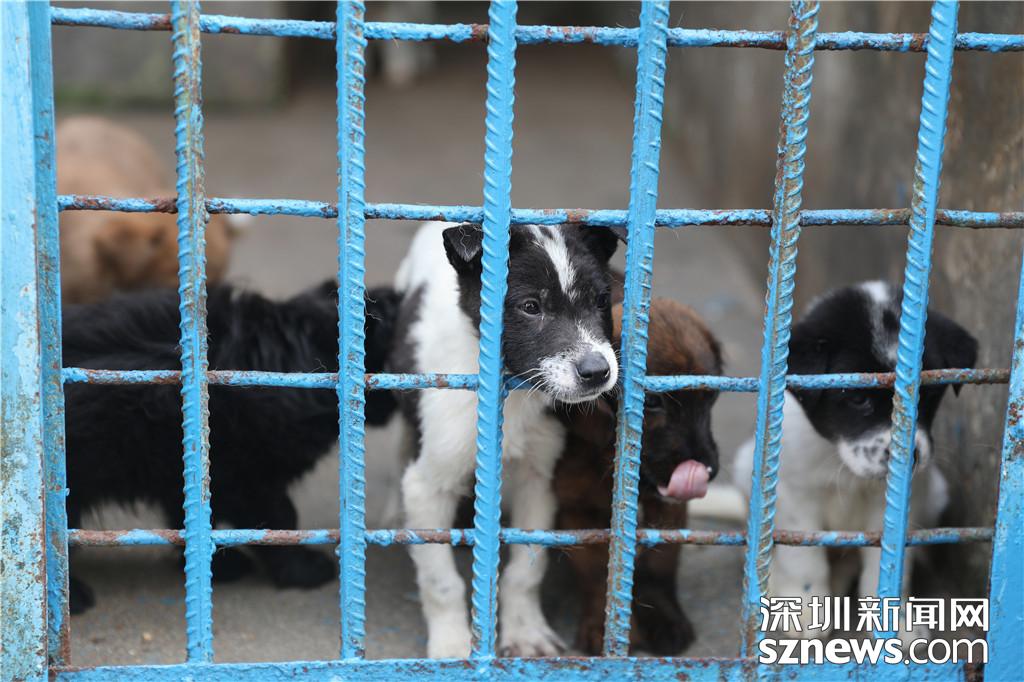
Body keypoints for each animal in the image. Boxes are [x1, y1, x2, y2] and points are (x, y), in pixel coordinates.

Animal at [387, 220, 623, 658]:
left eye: (601, 301)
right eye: (531, 307)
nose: (597, 372)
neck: (511, 394)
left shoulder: (540, 478)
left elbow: (525, 571)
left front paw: (526, 633)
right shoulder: (429, 486)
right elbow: (441, 580)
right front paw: (452, 646)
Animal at [555, 296, 723, 655]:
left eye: (711, 396)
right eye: (654, 402)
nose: (709, 469)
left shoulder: (669, 509)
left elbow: (660, 569)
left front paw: (665, 618)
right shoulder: (576, 511)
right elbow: (595, 573)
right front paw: (602, 627)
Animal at [732, 281, 977, 639]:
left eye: (928, 394)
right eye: (857, 398)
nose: (910, 457)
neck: (843, 466)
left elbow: (886, 564)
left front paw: (893, 621)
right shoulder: (794, 495)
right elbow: (805, 557)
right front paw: (805, 609)